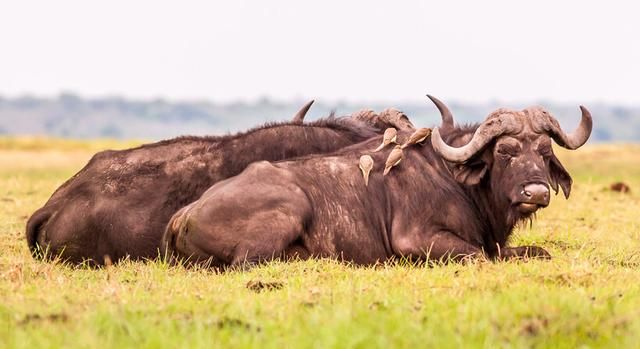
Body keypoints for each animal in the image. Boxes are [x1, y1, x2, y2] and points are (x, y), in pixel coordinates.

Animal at [162, 96, 592, 268]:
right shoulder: (416, 240)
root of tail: (185, 214)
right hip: (288, 210)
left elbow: (533, 252)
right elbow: (478, 256)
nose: (535, 192)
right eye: (504, 151)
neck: (457, 180)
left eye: (544, 150)